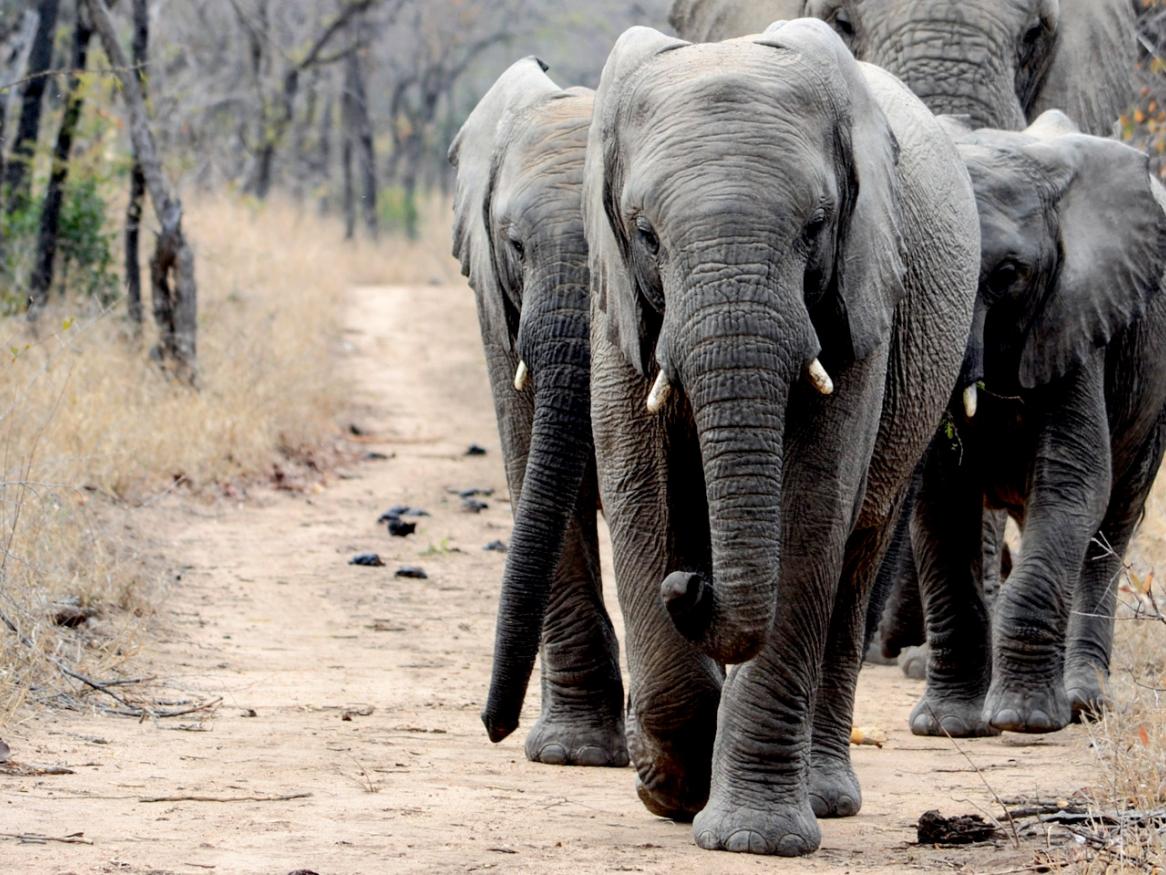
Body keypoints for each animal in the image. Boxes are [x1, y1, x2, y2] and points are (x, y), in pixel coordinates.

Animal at [582, 19, 978, 855]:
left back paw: (824, 795)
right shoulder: (615, 299)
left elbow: (812, 505)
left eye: (816, 226)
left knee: (855, 557)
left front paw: (748, 837)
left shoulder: (864, 290)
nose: (690, 584)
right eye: (645, 233)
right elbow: (639, 488)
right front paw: (670, 789)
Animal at [907, 110, 1166, 738]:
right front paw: (945, 726)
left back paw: (1083, 704)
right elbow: (936, 498)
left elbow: (1074, 483)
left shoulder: (1078, 317)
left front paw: (1023, 721)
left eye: (1008, 274)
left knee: (1110, 527)